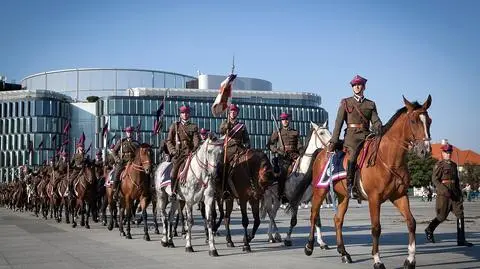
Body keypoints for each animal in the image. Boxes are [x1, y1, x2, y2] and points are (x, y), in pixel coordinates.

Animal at [290, 94, 434, 268]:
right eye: (413, 121)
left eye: (429, 121)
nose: (425, 150)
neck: (389, 158)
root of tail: (323, 151)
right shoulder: (374, 198)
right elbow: (376, 228)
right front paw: (377, 260)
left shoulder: (399, 196)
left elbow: (411, 222)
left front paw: (410, 259)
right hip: (320, 190)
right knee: (313, 215)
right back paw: (310, 246)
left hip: (343, 195)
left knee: (338, 220)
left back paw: (344, 253)